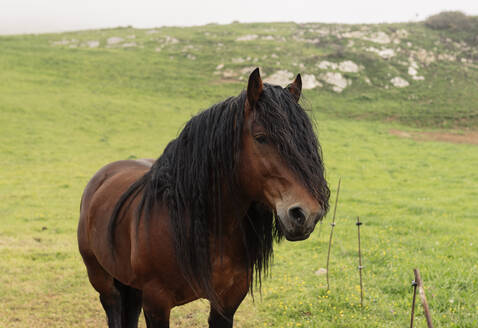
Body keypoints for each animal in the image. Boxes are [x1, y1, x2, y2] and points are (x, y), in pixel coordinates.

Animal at [78, 68, 330, 326]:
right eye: (261, 137)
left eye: (307, 141)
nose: (306, 214)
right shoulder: (156, 303)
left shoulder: (227, 302)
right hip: (102, 280)